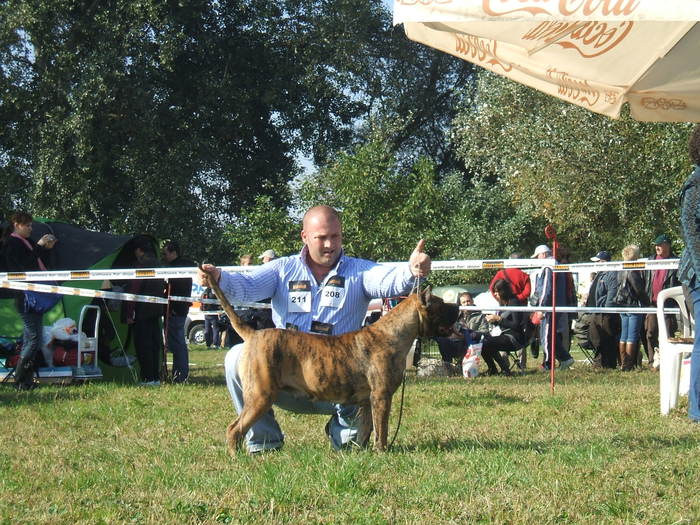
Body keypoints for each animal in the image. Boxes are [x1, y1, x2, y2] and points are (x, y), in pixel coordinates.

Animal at [202, 268, 460, 452]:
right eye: (441, 305)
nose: (457, 306)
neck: (393, 334)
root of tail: (254, 334)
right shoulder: (381, 396)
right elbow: (382, 428)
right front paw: (382, 451)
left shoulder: (367, 402)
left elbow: (366, 428)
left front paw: (362, 452)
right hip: (260, 395)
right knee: (235, 428)